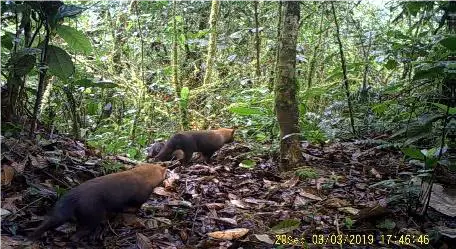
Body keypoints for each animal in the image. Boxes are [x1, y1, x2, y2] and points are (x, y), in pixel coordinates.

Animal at [30, 163, 169, 241]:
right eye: (164, 174)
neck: (141, 175)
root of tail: (74, 197)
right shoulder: (141, 196)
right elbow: (135, 206)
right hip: (93, 213)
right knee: (82, 231)